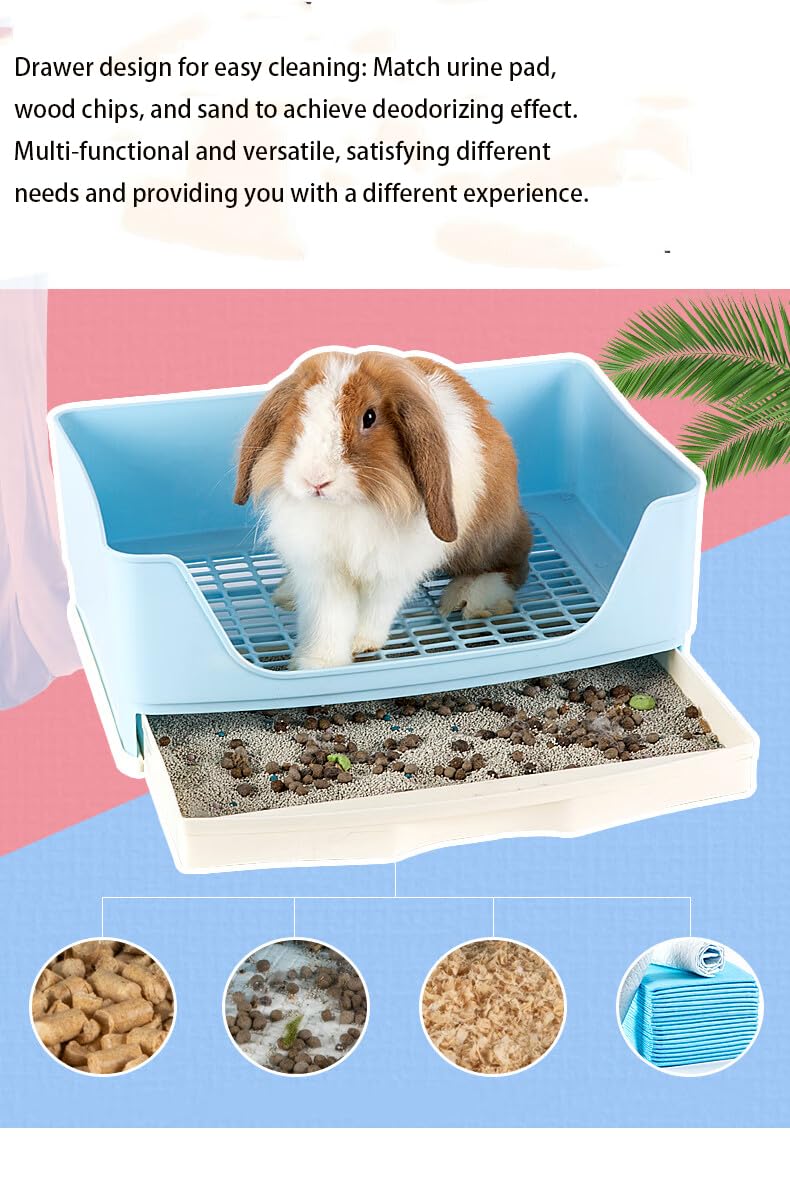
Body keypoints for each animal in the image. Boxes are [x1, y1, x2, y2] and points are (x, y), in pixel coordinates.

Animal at [233, 349, 532, 670]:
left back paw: (471, 596)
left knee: (512, 564)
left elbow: (376, 608)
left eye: (369, 417)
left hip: (490, 536)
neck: (346, 507)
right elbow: (329, 617)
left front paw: (361, 643)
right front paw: (319, 662)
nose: (315, 480)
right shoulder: (322, 569)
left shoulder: (391, 569)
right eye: (299, 411)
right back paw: (287, 593)